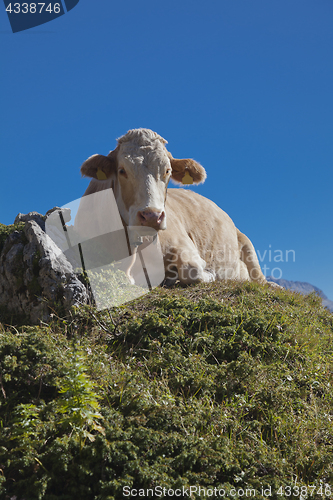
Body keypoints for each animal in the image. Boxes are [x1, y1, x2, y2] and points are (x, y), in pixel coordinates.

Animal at [75, 127, 264, 288]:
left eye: (167, 170)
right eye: (122, 170)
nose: (152, 216)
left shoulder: (183, 243)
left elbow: (193, 270)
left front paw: (207, 273)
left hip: (247, 245)